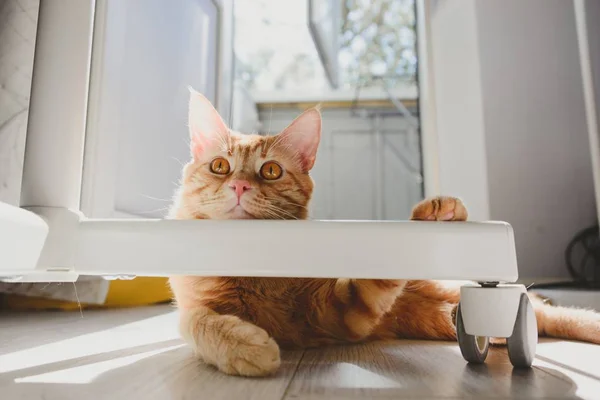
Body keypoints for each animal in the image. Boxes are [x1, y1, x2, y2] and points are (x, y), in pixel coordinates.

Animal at [169, 89, 600, 376]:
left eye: (271, 170)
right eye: (221, 166)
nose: (240, 186)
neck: (254, 271)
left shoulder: (338, 314)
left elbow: (377, 274)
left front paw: (423, 226)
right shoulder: (198, 309)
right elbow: (196, 322)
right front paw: (246, 346)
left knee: (551, 312)